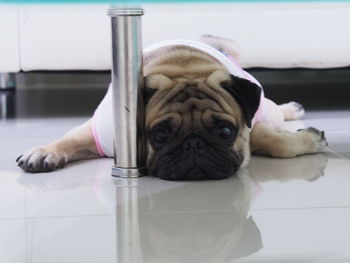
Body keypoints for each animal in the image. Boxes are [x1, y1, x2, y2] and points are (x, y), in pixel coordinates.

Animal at [15, 35, 328, 180]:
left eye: (226, 132)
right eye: (160, 135)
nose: (194, 144)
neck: (182, 67)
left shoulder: (253, 127)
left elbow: (277, 141)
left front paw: (309, 139)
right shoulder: (96, 134)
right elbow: (69, 139)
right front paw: (44, 152)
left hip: (265, 106)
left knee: (275, 110)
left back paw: (293, 109)